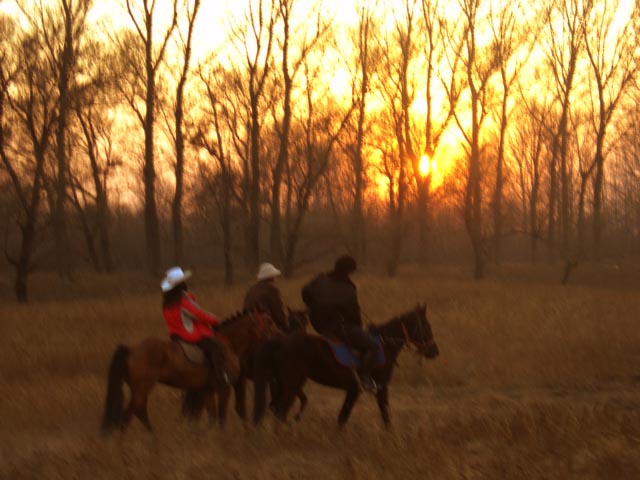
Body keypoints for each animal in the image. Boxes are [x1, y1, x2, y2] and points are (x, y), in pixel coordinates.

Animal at [102, 310, 278, 434]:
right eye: (269, 322)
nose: (279, 335)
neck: (229, 345)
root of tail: (130, 350)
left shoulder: (207, 390)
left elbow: (212, 415)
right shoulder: (224, 388)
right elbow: (221, 415)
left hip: (139, 389)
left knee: (138, 411)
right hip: (142, 387)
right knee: (130, 414)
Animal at [252, 304, 438, 428]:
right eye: (426, 326)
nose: (435, 351)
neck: (385, 345)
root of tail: (280, 341)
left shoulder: (353, 391)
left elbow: (343, 417)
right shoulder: (381, 388)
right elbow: (386, 416)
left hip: (283, 384)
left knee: (276, 409)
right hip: (291, 385)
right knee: (281, 411)